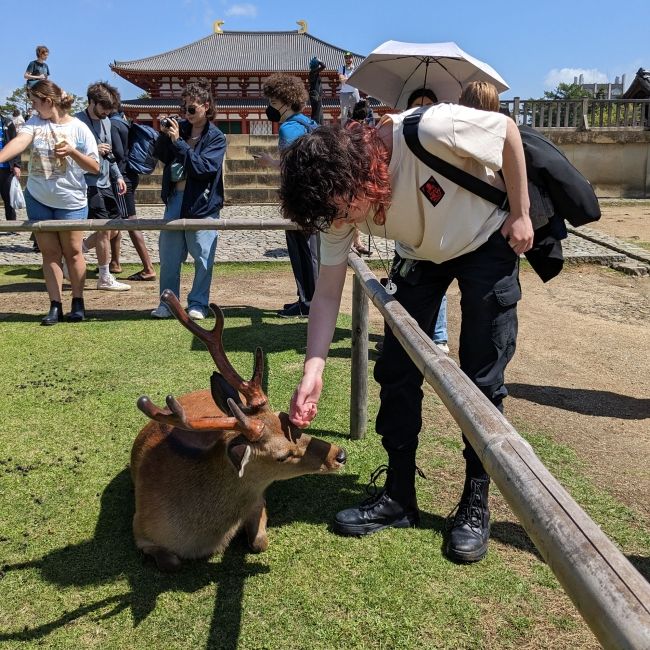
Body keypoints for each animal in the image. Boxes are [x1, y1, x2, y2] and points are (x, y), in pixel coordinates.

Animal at [130, 288, 344, 568]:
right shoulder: (140, 531)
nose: (340, 454)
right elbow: (172, 562)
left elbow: (260, 542)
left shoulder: (257, 500)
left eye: (287, 418)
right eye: (282, 455)